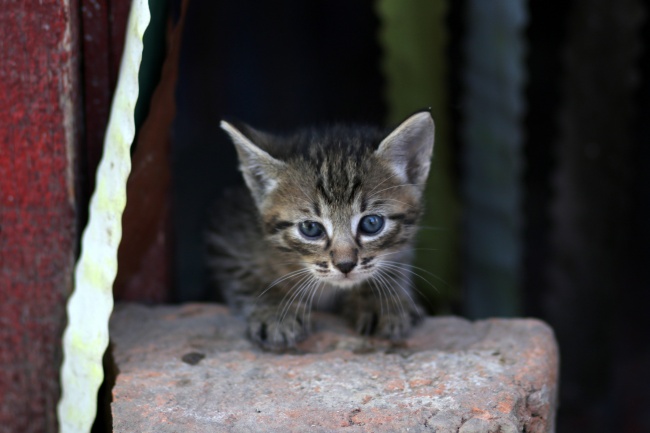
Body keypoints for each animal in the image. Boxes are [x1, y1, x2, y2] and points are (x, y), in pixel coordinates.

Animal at [205, 110, 432, 348]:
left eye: (371, 224)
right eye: (310, 228)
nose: (345, 265)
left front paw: (381, 300)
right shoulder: (225, 240)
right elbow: (250, 279)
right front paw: (276, 309)